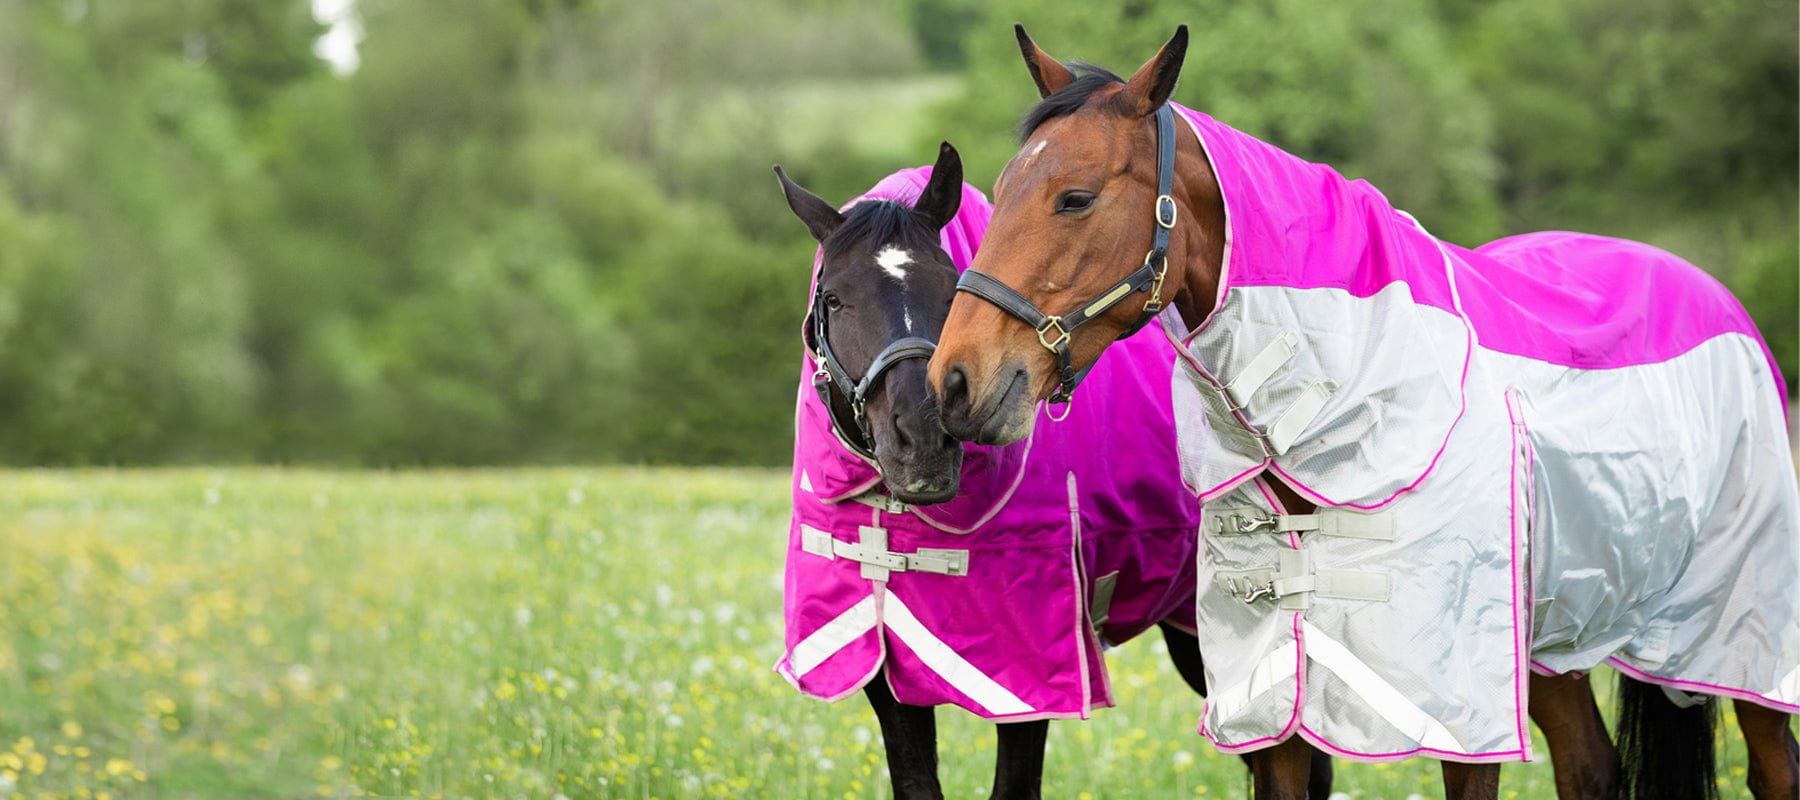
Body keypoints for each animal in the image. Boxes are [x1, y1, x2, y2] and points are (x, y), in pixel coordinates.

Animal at [928, 24, 1800, 800]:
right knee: (1590, 765)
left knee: (1772, 765)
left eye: (1074, 198)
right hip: (1558, 638)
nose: (956, 384)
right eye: (997, 194)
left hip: (1734, 636)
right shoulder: (1271, 699)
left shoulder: (1454, 709)